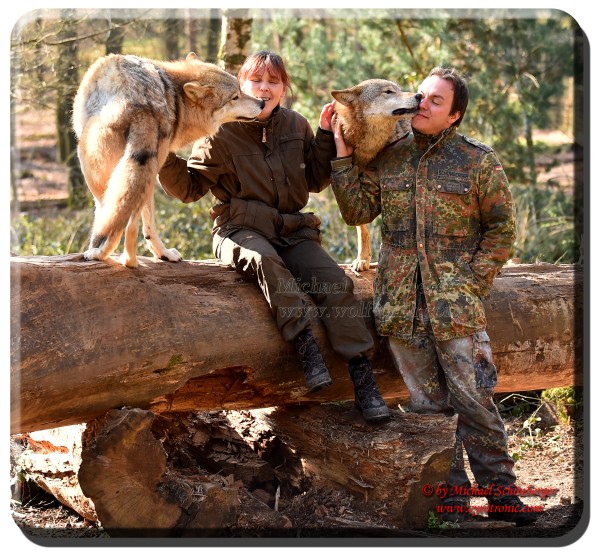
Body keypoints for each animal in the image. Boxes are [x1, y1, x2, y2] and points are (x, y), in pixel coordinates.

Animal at [72, 51, 264, 268]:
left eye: (240, 91)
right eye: (235, 96)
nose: (262, 103)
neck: (178, 100)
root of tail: (141, 104)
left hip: (107, 175)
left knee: (123, 220)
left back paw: (110, 255)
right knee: (128, 222)